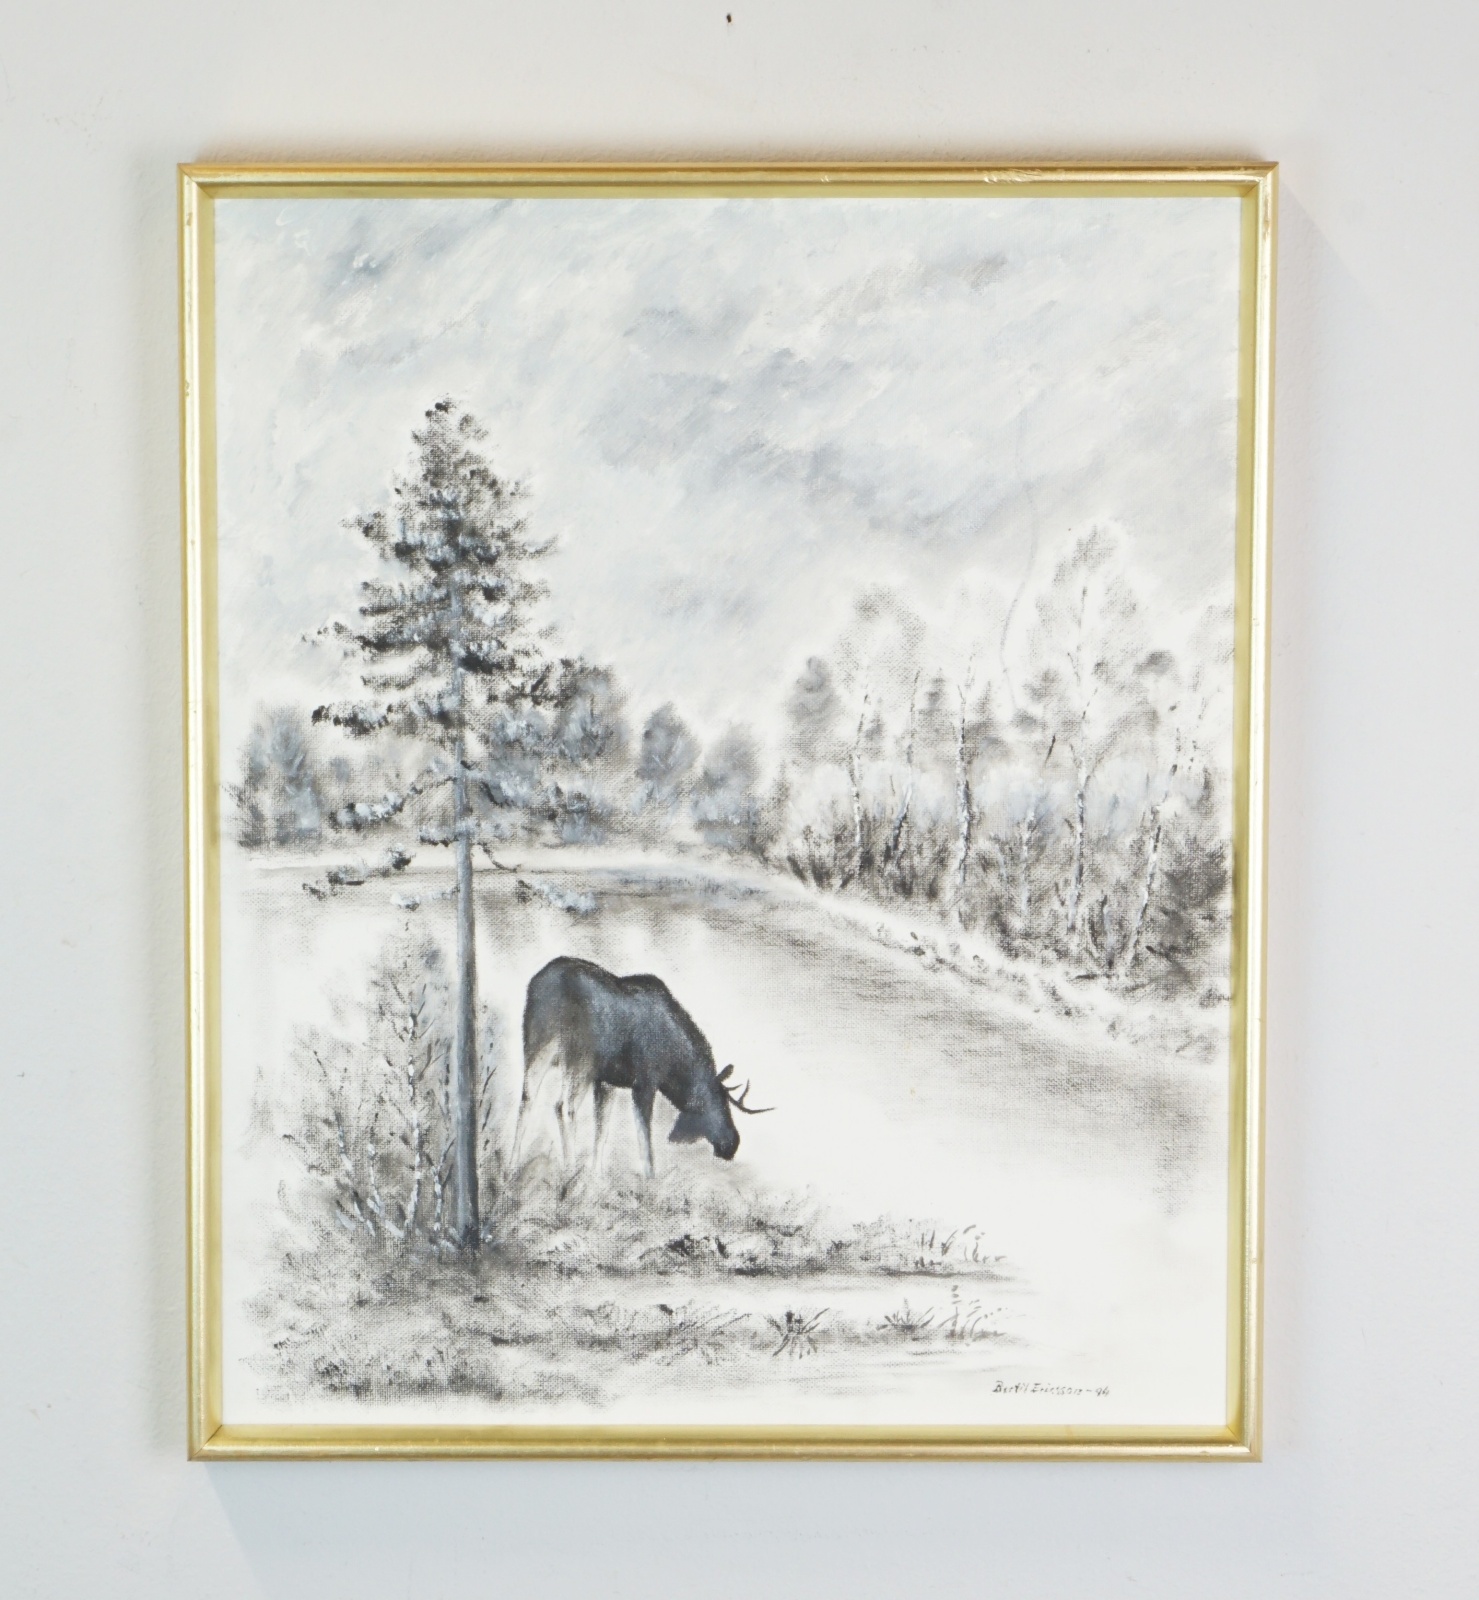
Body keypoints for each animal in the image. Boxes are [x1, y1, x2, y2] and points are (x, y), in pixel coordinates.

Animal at [513, 955, 770, 1177]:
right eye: (720, 1103)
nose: (731, 1144)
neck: (675, 1064)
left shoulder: (607, 1081)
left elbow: (602, 1130)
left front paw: (596, 1178)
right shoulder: (644, 1082)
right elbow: (644, 1136)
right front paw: (649, 1178)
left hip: (536, 1046)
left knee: (527, 1099)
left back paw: (512, 1166)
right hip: (580, 1060)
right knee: (563, 1107)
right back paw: (569, 1170)